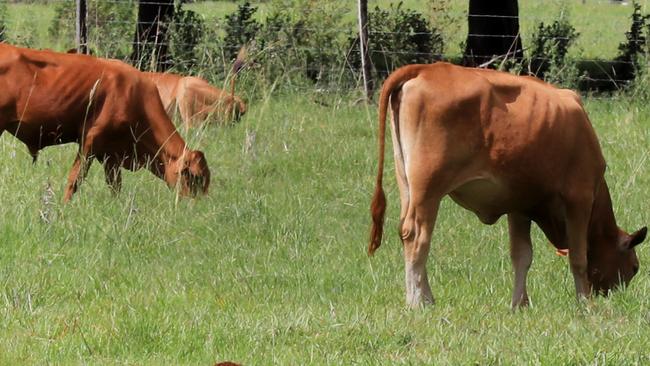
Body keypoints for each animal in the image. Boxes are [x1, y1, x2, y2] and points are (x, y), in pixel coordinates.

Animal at [368, 61, 644, 308]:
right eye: (635, 267)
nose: (612, 295)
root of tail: (426, 68)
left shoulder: (520, 206)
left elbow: (522, 256)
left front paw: (519, 304)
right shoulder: (580, 198)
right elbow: (578, 257)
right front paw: (585, 304)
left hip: (407, 185)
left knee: (405, 232)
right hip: (428, 190)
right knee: (417, 236)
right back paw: (418, 301)